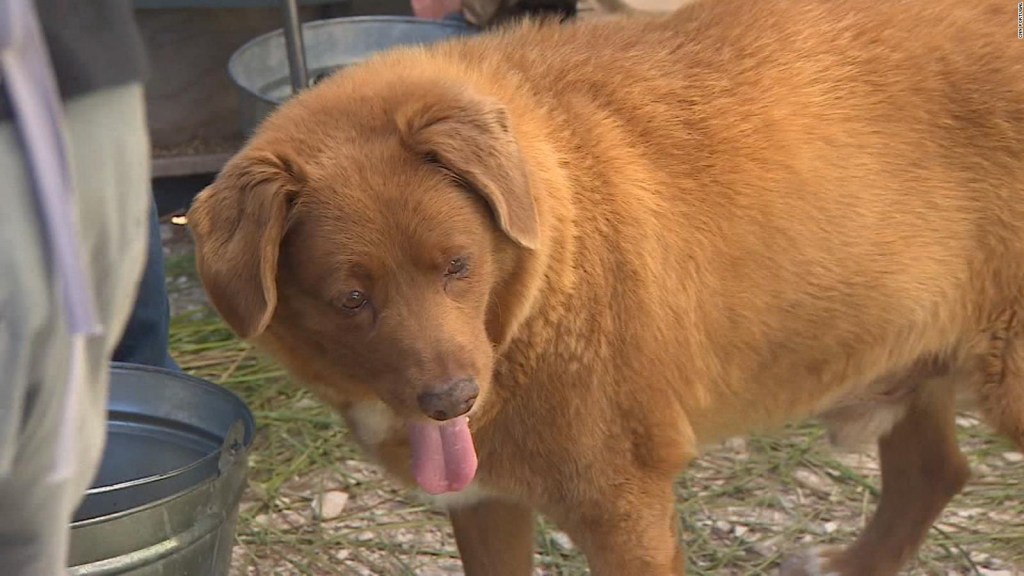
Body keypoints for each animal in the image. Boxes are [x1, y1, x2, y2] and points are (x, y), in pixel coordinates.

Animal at [186, 2, 1024, 569]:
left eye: (458, 265)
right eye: (351, 299)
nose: (452, 401)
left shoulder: (624, 509)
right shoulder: (485, 500)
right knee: (932, 474)